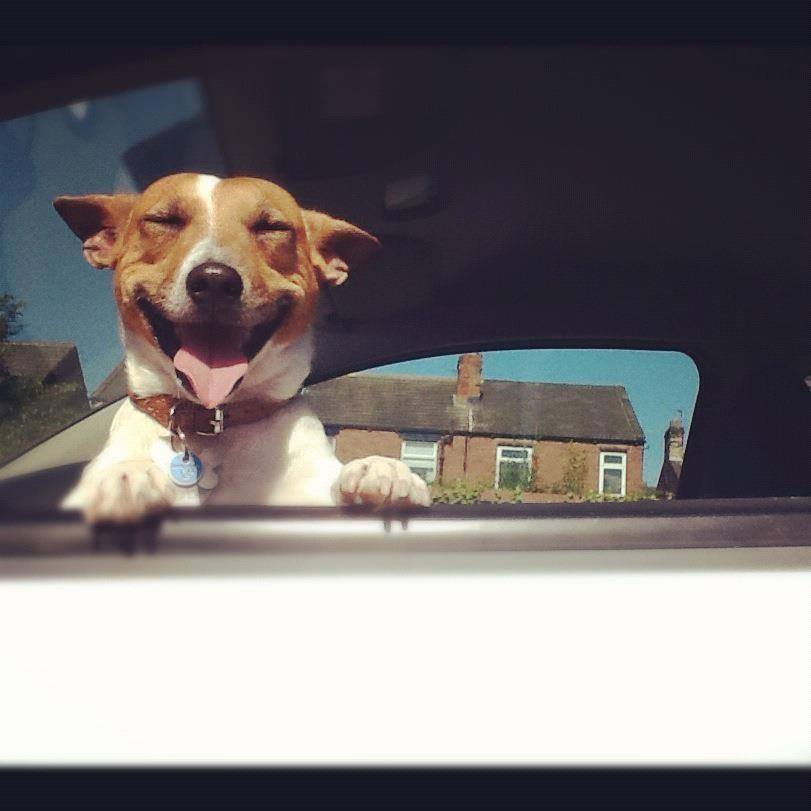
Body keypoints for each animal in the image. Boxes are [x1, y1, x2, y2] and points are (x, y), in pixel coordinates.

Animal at [54, 174, 434, 524]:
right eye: (163, 220)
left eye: (272, 227)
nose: (214, 280)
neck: (209, 424)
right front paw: (125, 476)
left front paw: (383, 471)